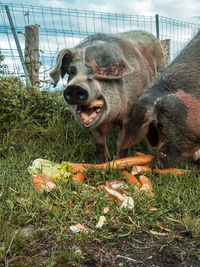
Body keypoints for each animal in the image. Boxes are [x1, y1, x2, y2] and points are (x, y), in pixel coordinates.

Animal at [49, 30, 166, 162]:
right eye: (72, 71)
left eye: (98, 72)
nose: (74, 87)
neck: (111, 119)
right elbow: (100, 143)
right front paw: (103, 161)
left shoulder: (130, 115)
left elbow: (122, 143)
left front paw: (118, 161)